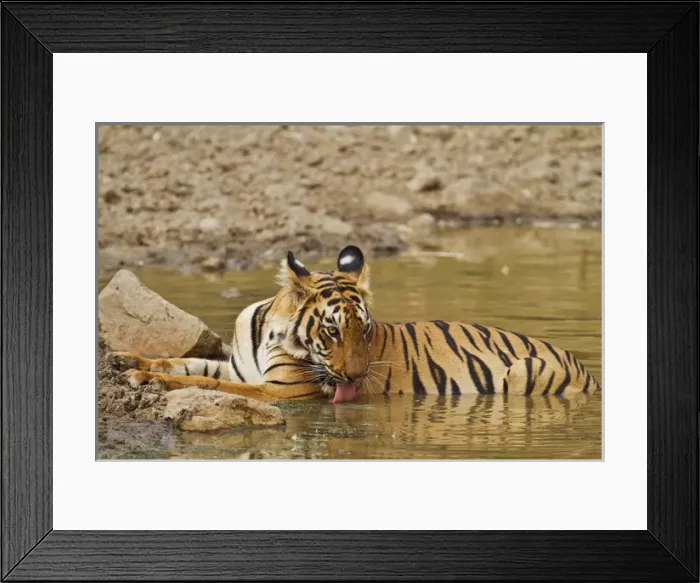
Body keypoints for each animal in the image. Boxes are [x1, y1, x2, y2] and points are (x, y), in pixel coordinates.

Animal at [114, 245, 601, 403]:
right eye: (332, 331)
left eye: (364, 330)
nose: (356, 377)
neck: (269, 331)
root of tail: (586, 368)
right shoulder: (238, 367)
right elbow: (186, 363)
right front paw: (125, 360)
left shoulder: (281, 390)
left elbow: (206, 382)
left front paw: (145, 379)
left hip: (523, 372)